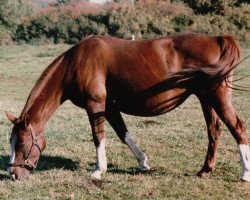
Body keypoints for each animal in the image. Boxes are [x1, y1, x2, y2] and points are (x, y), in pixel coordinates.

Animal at [4, 32, 249, 181]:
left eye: (22, 142)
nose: (13, 172)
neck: (75, 63)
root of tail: (217, 38)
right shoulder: (111, 108)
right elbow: (124, 135)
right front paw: (143, 163)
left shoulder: (95, 106)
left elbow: (99, 137)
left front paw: (98, 170)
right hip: (206, 99)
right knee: (214, 131)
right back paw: (205, 170)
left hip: (217, 97)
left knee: (237, 127)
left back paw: (245, 173)